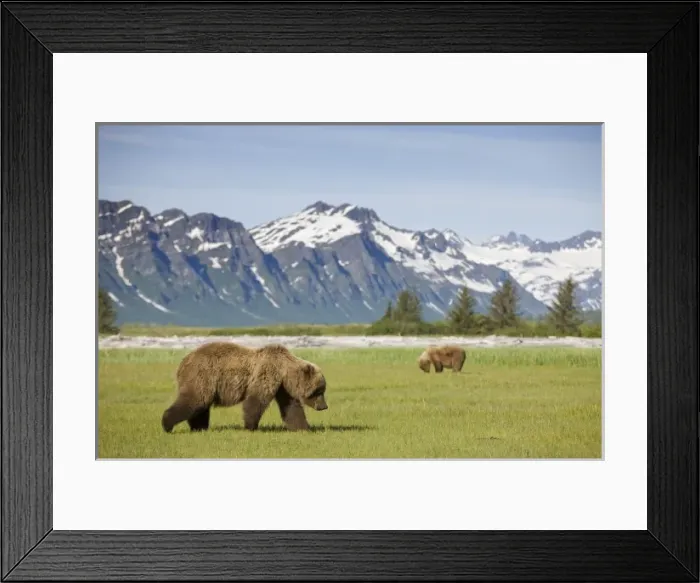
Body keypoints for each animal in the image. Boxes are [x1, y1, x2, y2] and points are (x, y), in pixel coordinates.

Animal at [161, 341, 328, 433]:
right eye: (319, 391)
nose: (324, 406)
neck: (285, 371)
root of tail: (183, 361)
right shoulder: (267, 373)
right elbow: (256, 401)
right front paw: (250, 426)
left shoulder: (283, 387)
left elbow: (291, 408)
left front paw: (304, 428)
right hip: (203, 376)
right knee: (196, 400)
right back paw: (167, 424)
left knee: (201, 405)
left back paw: (199, 427)